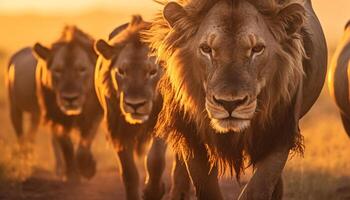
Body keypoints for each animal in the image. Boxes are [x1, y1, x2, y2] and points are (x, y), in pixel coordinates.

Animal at [7, 26, 102, 181]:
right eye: (58, 70)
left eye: (82, 69)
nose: (70, 98)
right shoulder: (55, 116)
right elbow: (66, 145)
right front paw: (72, 174)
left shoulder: (94, 115)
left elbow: (84, 144)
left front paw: (87, 169)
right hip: (14, 108)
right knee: (22, 137)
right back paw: (26, 163)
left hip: (36, 115)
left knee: (33, 136)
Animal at [93, 15, 166, 200]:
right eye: (121, 71)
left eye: (153, 72)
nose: (135, 104)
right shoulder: (118, 129)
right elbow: (128, 172)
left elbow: (155, 159)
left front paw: (153, 191)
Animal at [145, 0, 328, 199]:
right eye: (206, 49)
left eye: (257, 49)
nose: (229, 103)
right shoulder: (193, 136)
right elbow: (206, 187)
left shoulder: (279, 135)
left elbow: (257, 189)